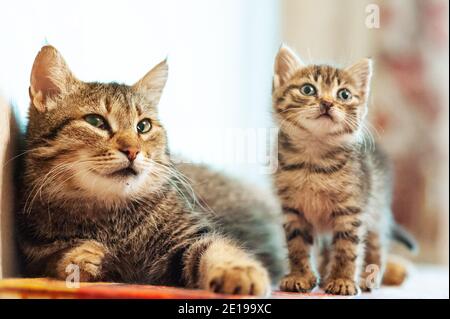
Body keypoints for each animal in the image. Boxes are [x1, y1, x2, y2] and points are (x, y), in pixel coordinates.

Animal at [17, 45, 286, 298]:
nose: (133, 151)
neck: (112, 219)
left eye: (143, 126)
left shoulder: (188, 237)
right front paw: (82, 255)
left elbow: (217, 249)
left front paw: (241, 272)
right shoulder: (36, 252)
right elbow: (57, 259)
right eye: (95, 122)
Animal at [270, 45, 414, 298]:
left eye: (344, 95)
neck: (314, 161)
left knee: (376, 244)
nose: (327, 103)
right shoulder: (293, 210)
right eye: (308, 89)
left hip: (376, 209)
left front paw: (342, 280)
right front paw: (301, 276)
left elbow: (347, 247)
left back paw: (369, 277)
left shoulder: (352, 210)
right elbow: (297, 245)